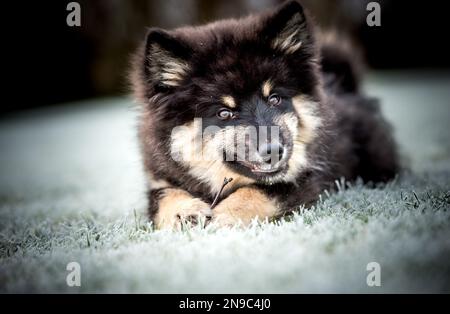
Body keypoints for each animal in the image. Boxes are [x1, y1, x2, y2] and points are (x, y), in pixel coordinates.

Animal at [129, 1, 398, 229]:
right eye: (224, 112)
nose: (274, 151)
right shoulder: (160, 179)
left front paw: (223, 215)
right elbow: (163, 196)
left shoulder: (305, 178)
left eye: (275, 99)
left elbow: (259, 191)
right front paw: (184, 212)